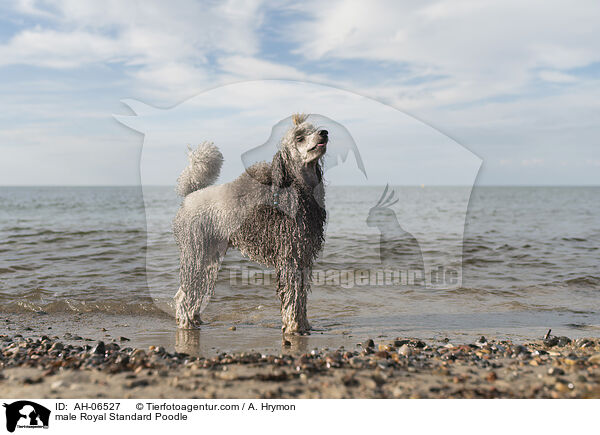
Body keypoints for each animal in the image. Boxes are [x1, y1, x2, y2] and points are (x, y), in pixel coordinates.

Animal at [171, 113, 326, 334]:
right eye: (299, 138)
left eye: (314, 130)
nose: (324, 133)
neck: (297, 188)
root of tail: (190, 195)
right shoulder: (289, 257)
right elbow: (292, 296)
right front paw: (293, 326)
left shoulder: (303, 256)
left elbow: (301, 296)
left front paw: (303, 324)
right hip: (196, 252)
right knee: (184, 295)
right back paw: (186, 323)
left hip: (209, 256)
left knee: (193, 292)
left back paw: (195, 319)